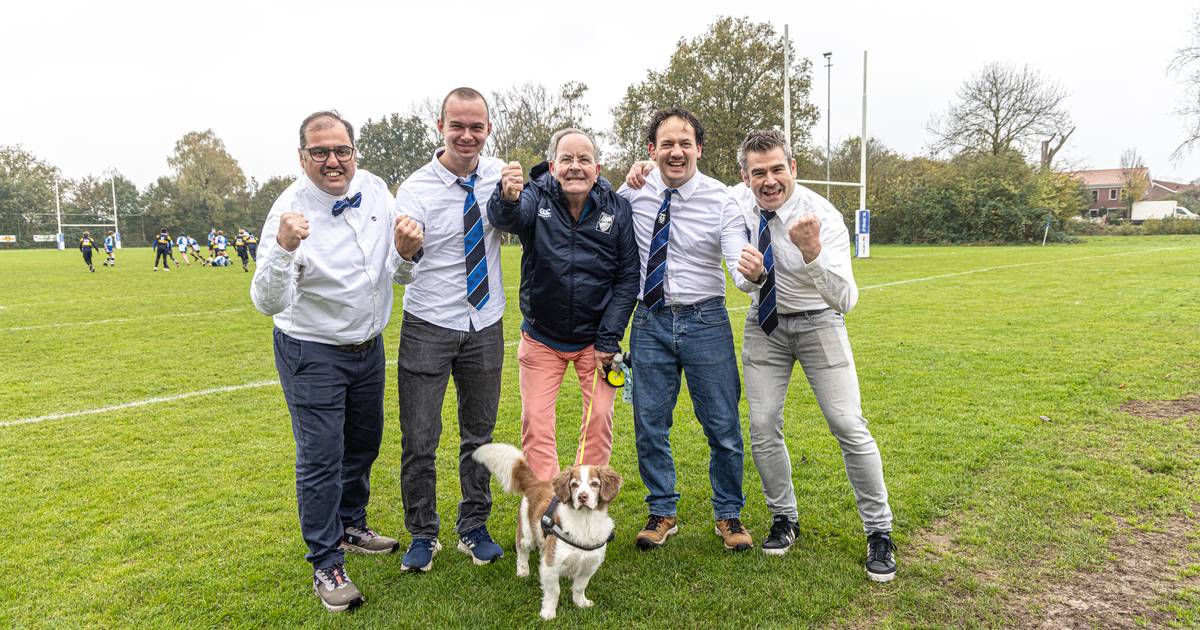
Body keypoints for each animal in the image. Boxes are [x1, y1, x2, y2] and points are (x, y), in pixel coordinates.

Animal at [470, 441, 624, 619]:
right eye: (574, 485)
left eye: (594, 484)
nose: (582, 497)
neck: (585, 523)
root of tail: (535, 482)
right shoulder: (551, 565)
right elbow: (554, 591)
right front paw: (548, 612)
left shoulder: (589, 565)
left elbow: (579, 587)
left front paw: (581, 603)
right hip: (527, 534)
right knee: (521, 550)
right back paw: (523, 571)